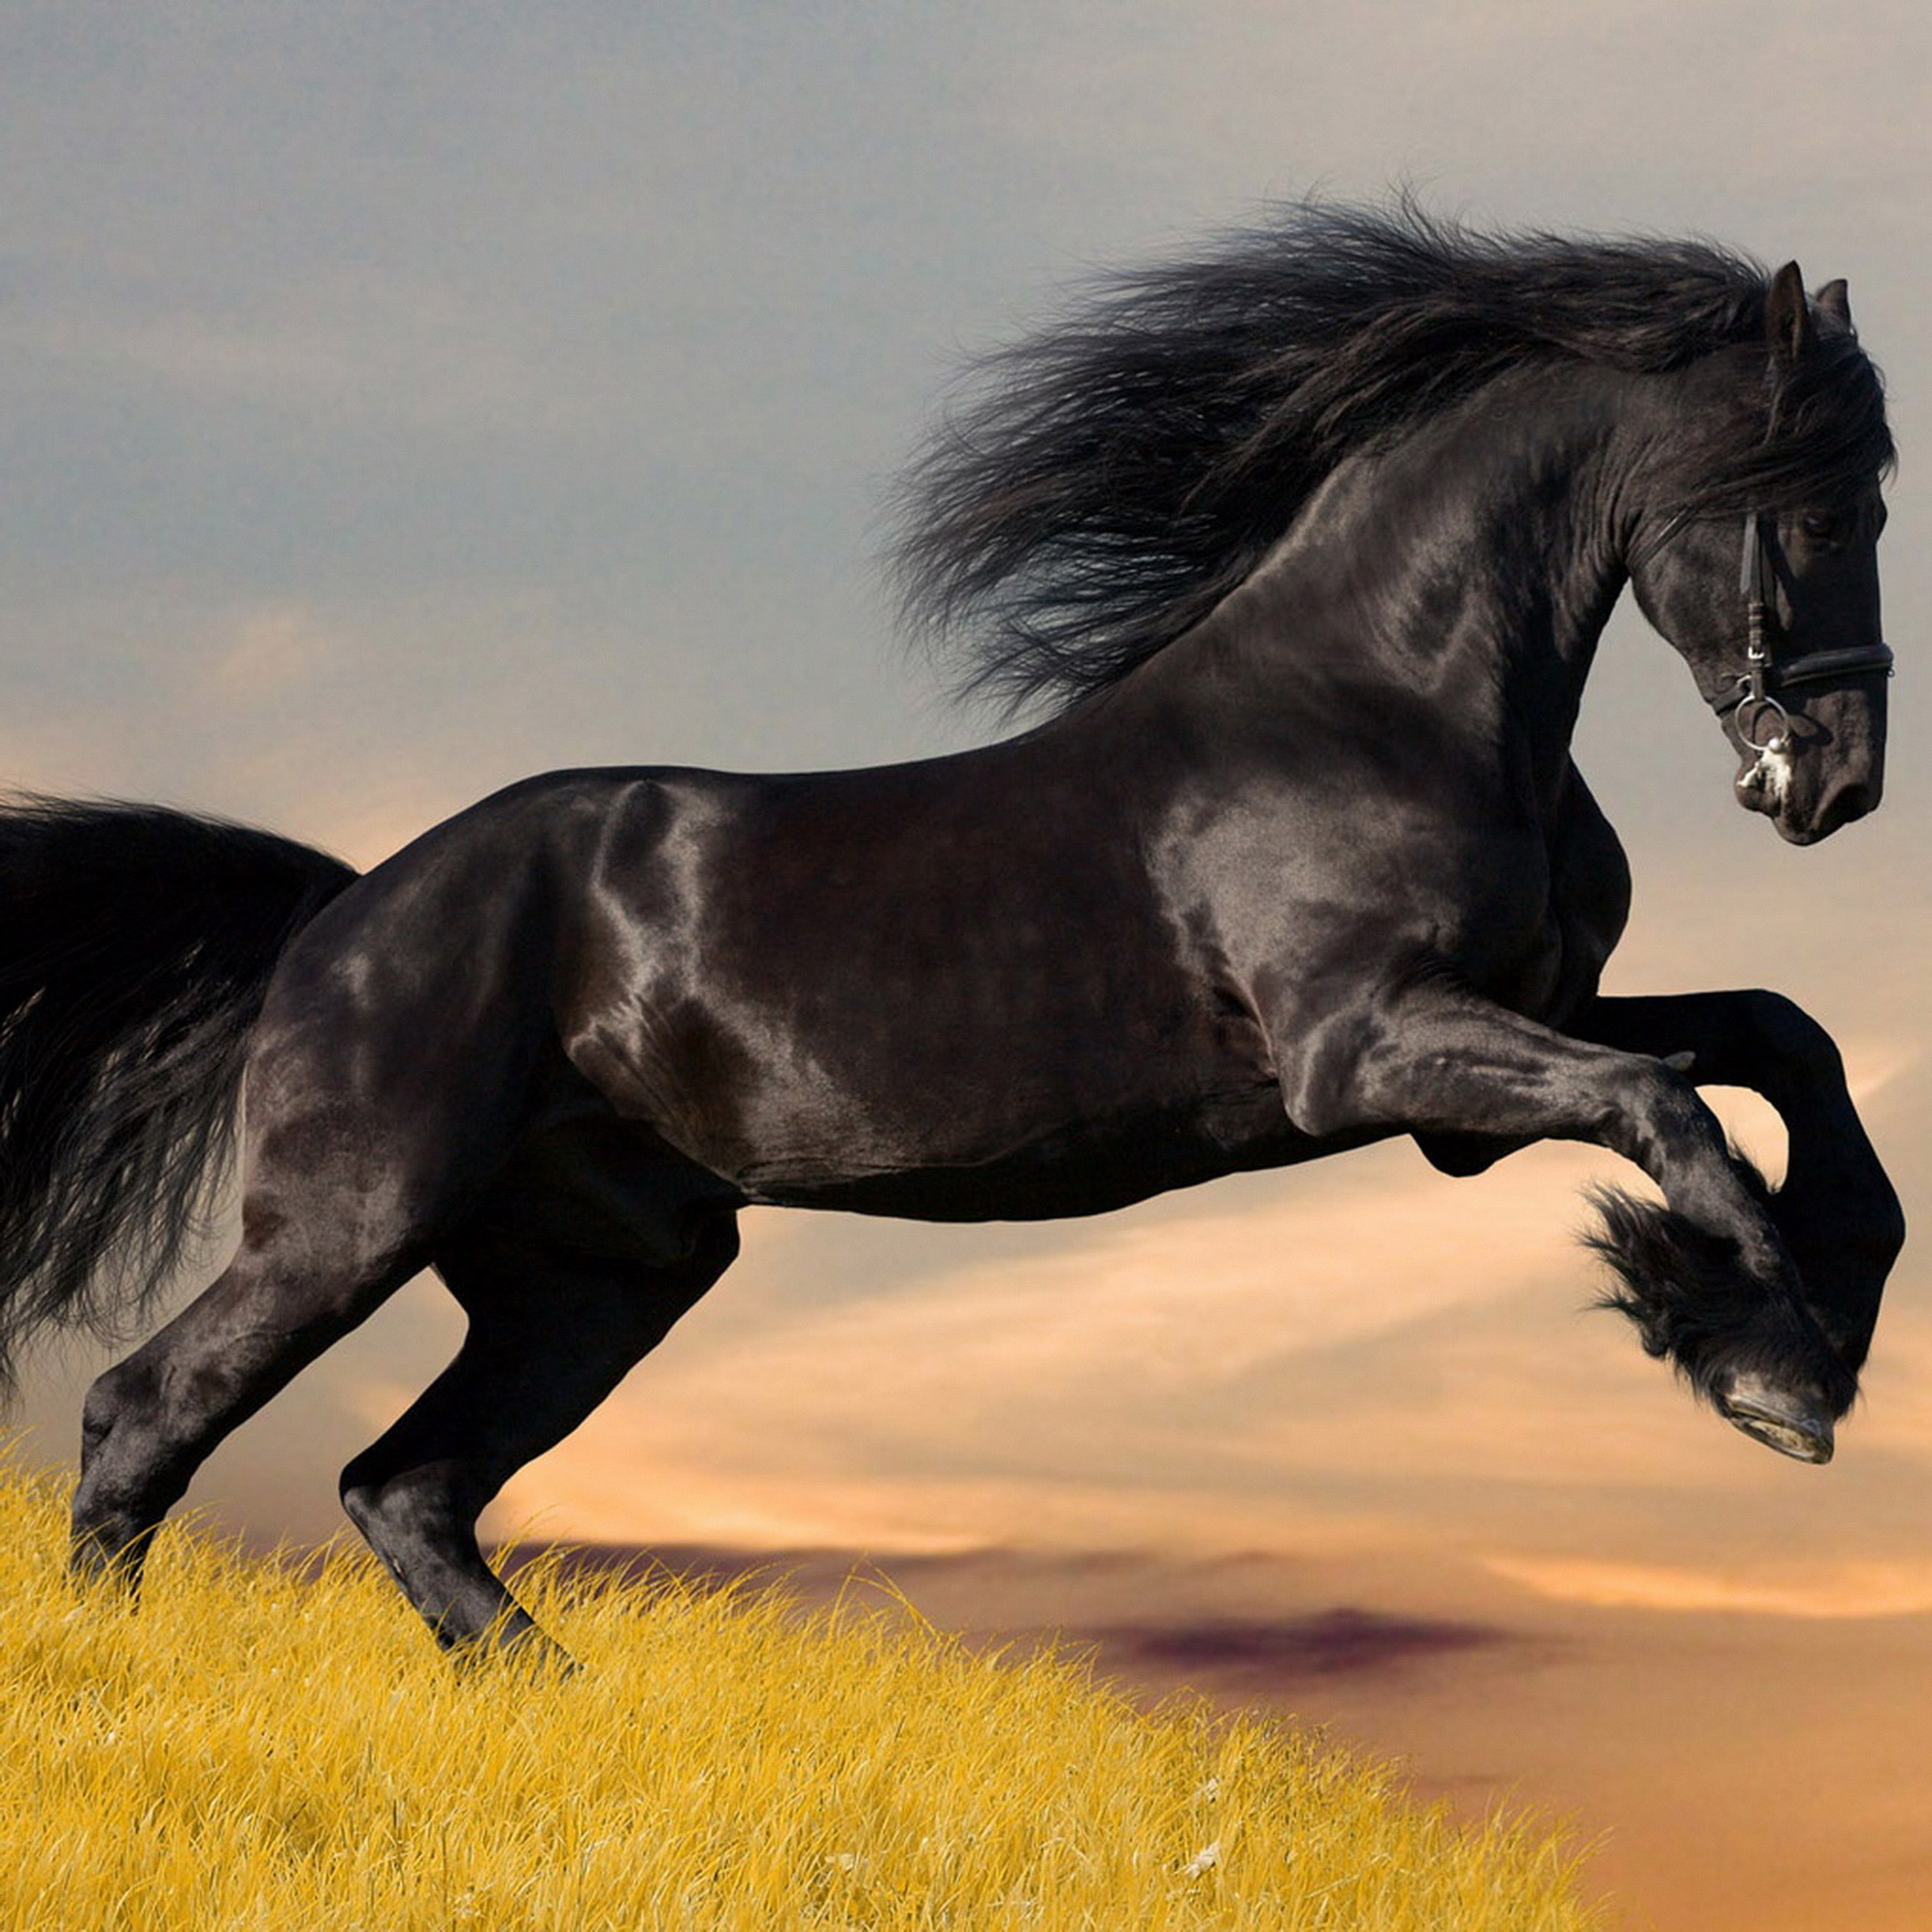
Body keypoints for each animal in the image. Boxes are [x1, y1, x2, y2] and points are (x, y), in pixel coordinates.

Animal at [0, 202, 1903, 1662]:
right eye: (1823, 505)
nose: (1837, 780)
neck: (1383, 702)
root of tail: (343, 908)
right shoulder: (1367, 1050)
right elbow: (1672, 1106)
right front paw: (1773, 1366)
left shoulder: (1491, 1057)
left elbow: (1775, 1039)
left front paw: (1800, 1317)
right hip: (352, 1218)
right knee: (145, 1418)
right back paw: (115, 1678)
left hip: (602, 1270)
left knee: (405, 1488)